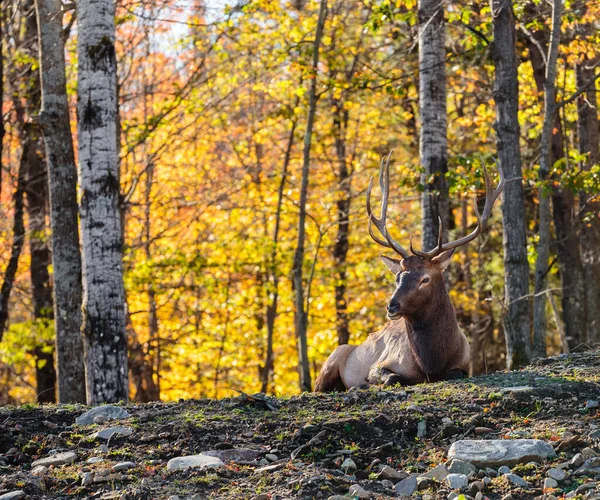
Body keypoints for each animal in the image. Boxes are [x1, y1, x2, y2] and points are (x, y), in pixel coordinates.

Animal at [314, 154, 506, 392]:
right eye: (398, 277)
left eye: (425, 279)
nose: (392, 306)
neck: (431, 363)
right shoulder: (382, 363)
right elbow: (391, 377)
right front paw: (368, 384)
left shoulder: (464, 364)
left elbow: (456, 374)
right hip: (330, 361)